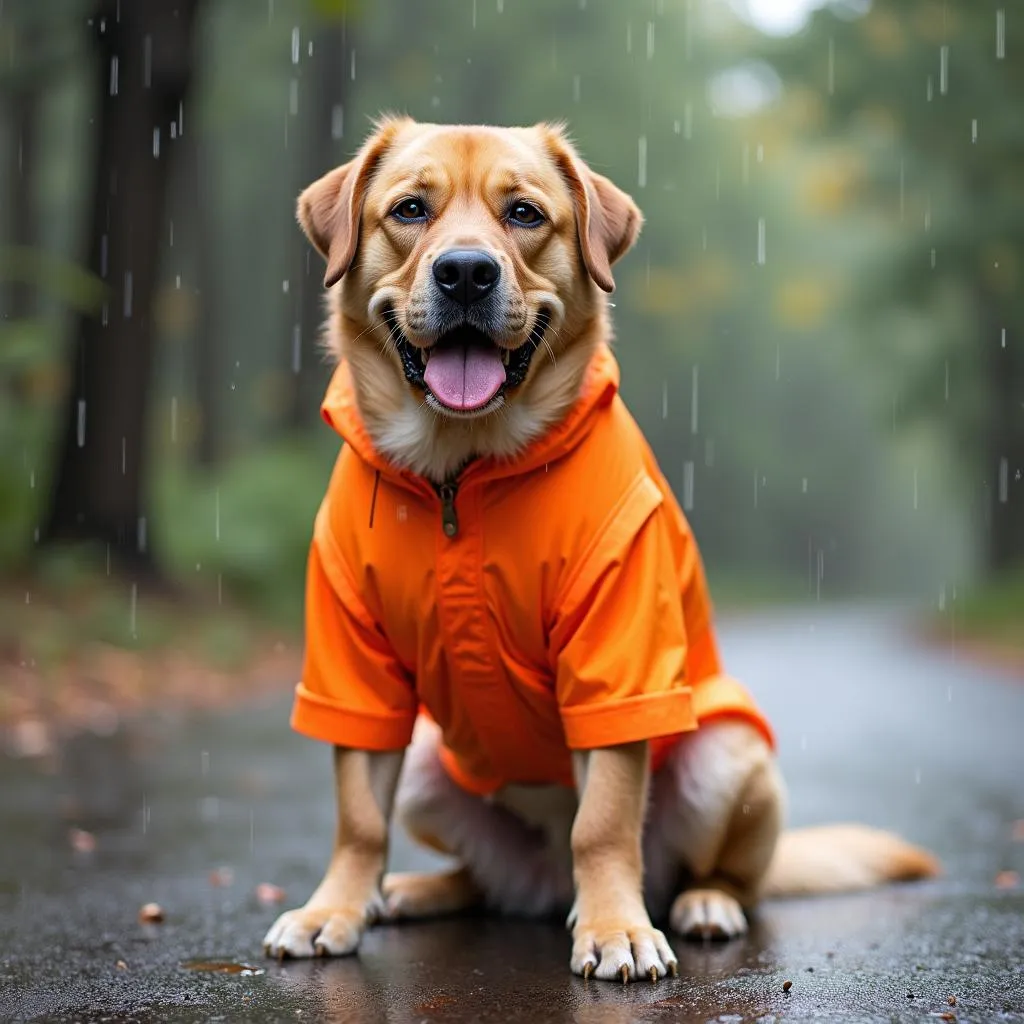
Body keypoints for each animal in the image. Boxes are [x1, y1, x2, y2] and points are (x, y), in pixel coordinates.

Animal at [260, 119, 937, 983]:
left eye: (524, 214)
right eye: (410, 210)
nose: (466, 273)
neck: (460, 471)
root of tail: (546, 886)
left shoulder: (620, 662)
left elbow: (604, 819)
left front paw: (617, 927)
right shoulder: (354, 672)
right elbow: (357, 818)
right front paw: (335, 910)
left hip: (730, 752)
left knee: (722, 878)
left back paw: (698, 904)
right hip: (429, 765)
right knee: (481, 881)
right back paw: (414, 891)